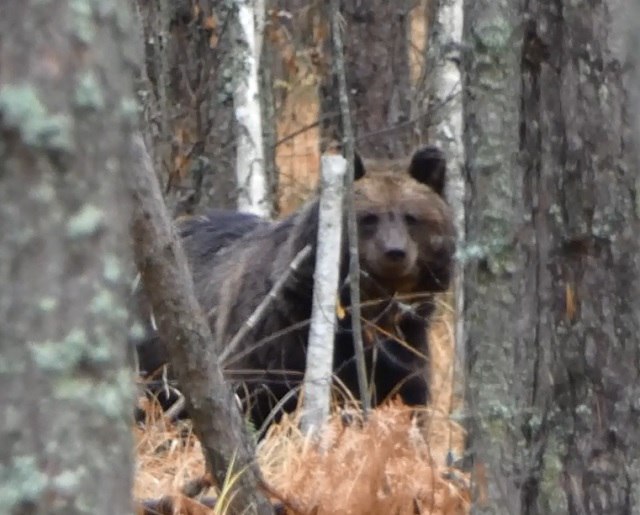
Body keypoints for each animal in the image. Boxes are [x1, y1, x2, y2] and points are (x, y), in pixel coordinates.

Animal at [135, 145, 456, 432]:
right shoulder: (274, 340)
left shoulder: (405, 349)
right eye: (368, 218)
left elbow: (409, 401)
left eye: (411, 217)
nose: (395, 252)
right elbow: (258, 403)